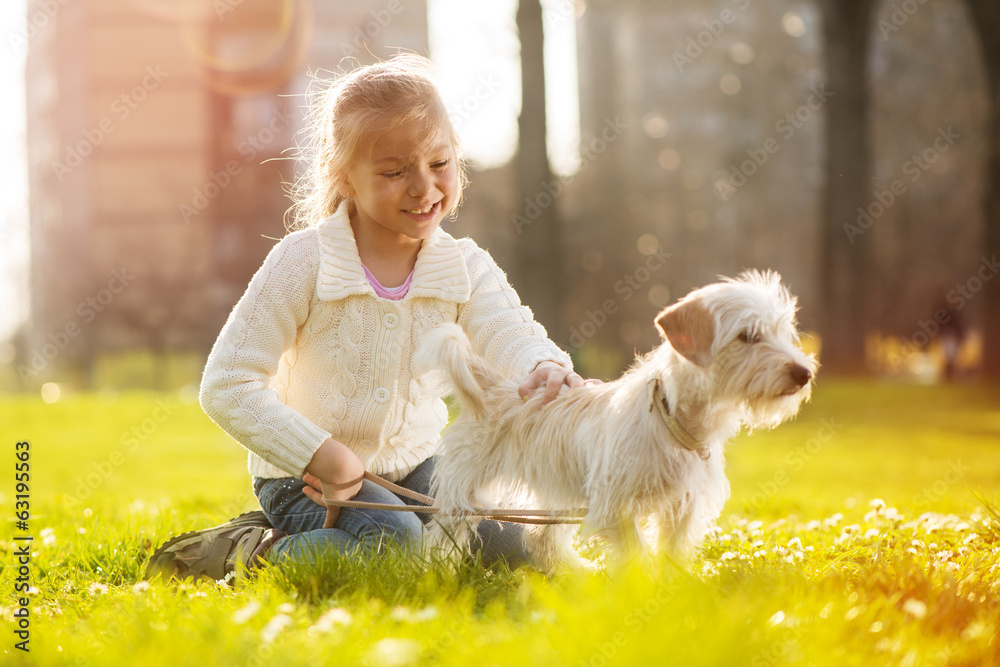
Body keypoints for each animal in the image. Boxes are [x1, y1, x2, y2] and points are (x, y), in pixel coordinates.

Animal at [418, 268, 816, 572]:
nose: (804, 373)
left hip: (563, 494)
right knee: (442, 537)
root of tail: (493, 385)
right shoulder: (615, 508)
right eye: (747, 335)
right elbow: (638, 556)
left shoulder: (681, 508)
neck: (672, 420)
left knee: (542, 537)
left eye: (783, 332)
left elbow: (671, 556)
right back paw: (436, 575)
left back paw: (577, 574)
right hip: (463, 497)